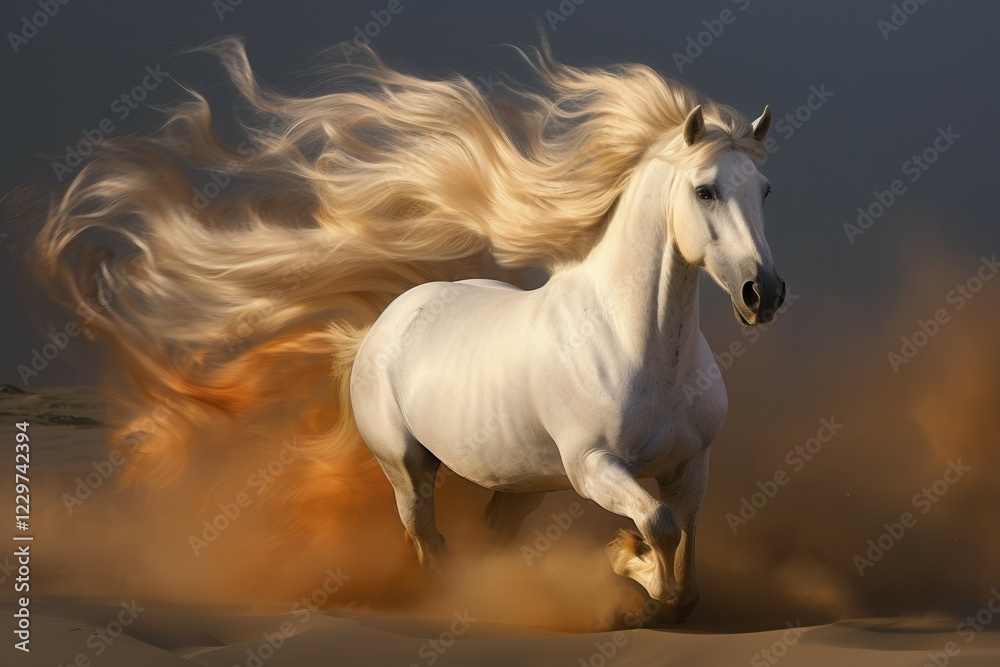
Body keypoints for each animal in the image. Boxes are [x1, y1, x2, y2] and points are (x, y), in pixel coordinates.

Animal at [350, 103, 785, 623]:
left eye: (764, 189)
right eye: (705, 191)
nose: (763, 293)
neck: (642, 349)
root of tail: (388, 318)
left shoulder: (689, 467)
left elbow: (686, 569)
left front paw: (647, 583)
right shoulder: (593, 467)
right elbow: (659, 526)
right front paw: (626, 557)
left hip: (521, 485)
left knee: (490, 537)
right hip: (407, 469)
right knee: (427, 540)